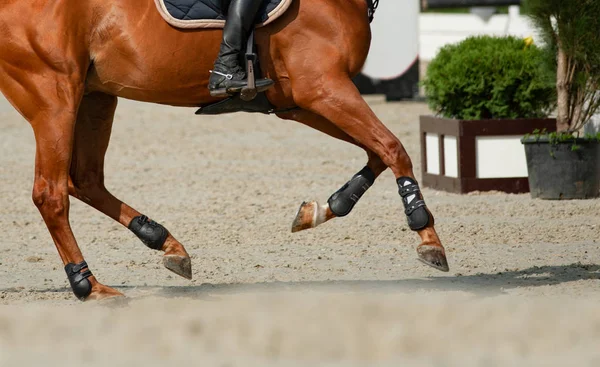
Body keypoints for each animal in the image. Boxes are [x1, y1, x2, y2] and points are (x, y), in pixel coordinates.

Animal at [0, 0, 448, 300]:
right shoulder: (324, 89)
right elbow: (394, 147)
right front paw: (428, 238)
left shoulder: (303, 103)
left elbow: (379, 152)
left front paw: (322, 209)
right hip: (54, 97)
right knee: (51, 193)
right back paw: (88, 285)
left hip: (95, 97)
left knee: (85, 180)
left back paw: (166, 243)